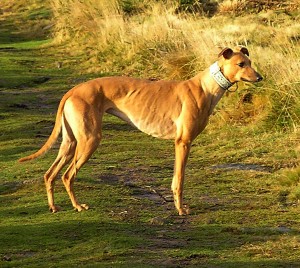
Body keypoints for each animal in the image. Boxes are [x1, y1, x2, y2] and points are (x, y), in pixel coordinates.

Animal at [19, 46, 262, 216]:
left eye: (250, 61)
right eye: (241, 63)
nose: (260, 77)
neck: (204, 88)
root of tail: (72, 91)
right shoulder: (183, 142)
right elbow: (180, 180)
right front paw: (181, 210)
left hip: (70, 143)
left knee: (50, 174)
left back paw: (54, 207)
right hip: (89, 140)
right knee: (68, 175)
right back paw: (78, 206)